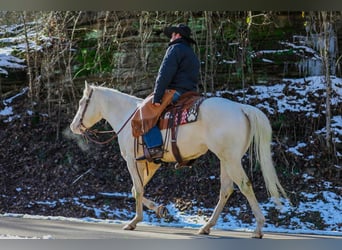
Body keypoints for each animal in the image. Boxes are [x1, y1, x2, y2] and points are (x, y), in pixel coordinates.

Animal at [71, 82, 288, 238]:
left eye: (82, 103)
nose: (73, 126)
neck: (127, 116)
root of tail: (241, 108)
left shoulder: (132, 161)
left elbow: (138, 189)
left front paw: (134, 221)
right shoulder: (148, 164)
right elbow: (136, 189)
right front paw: (160, 210)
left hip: (231, 160)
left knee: (244, 185)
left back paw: (258, 228)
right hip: (225, 160)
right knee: (226, 190)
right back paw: (206, 227)